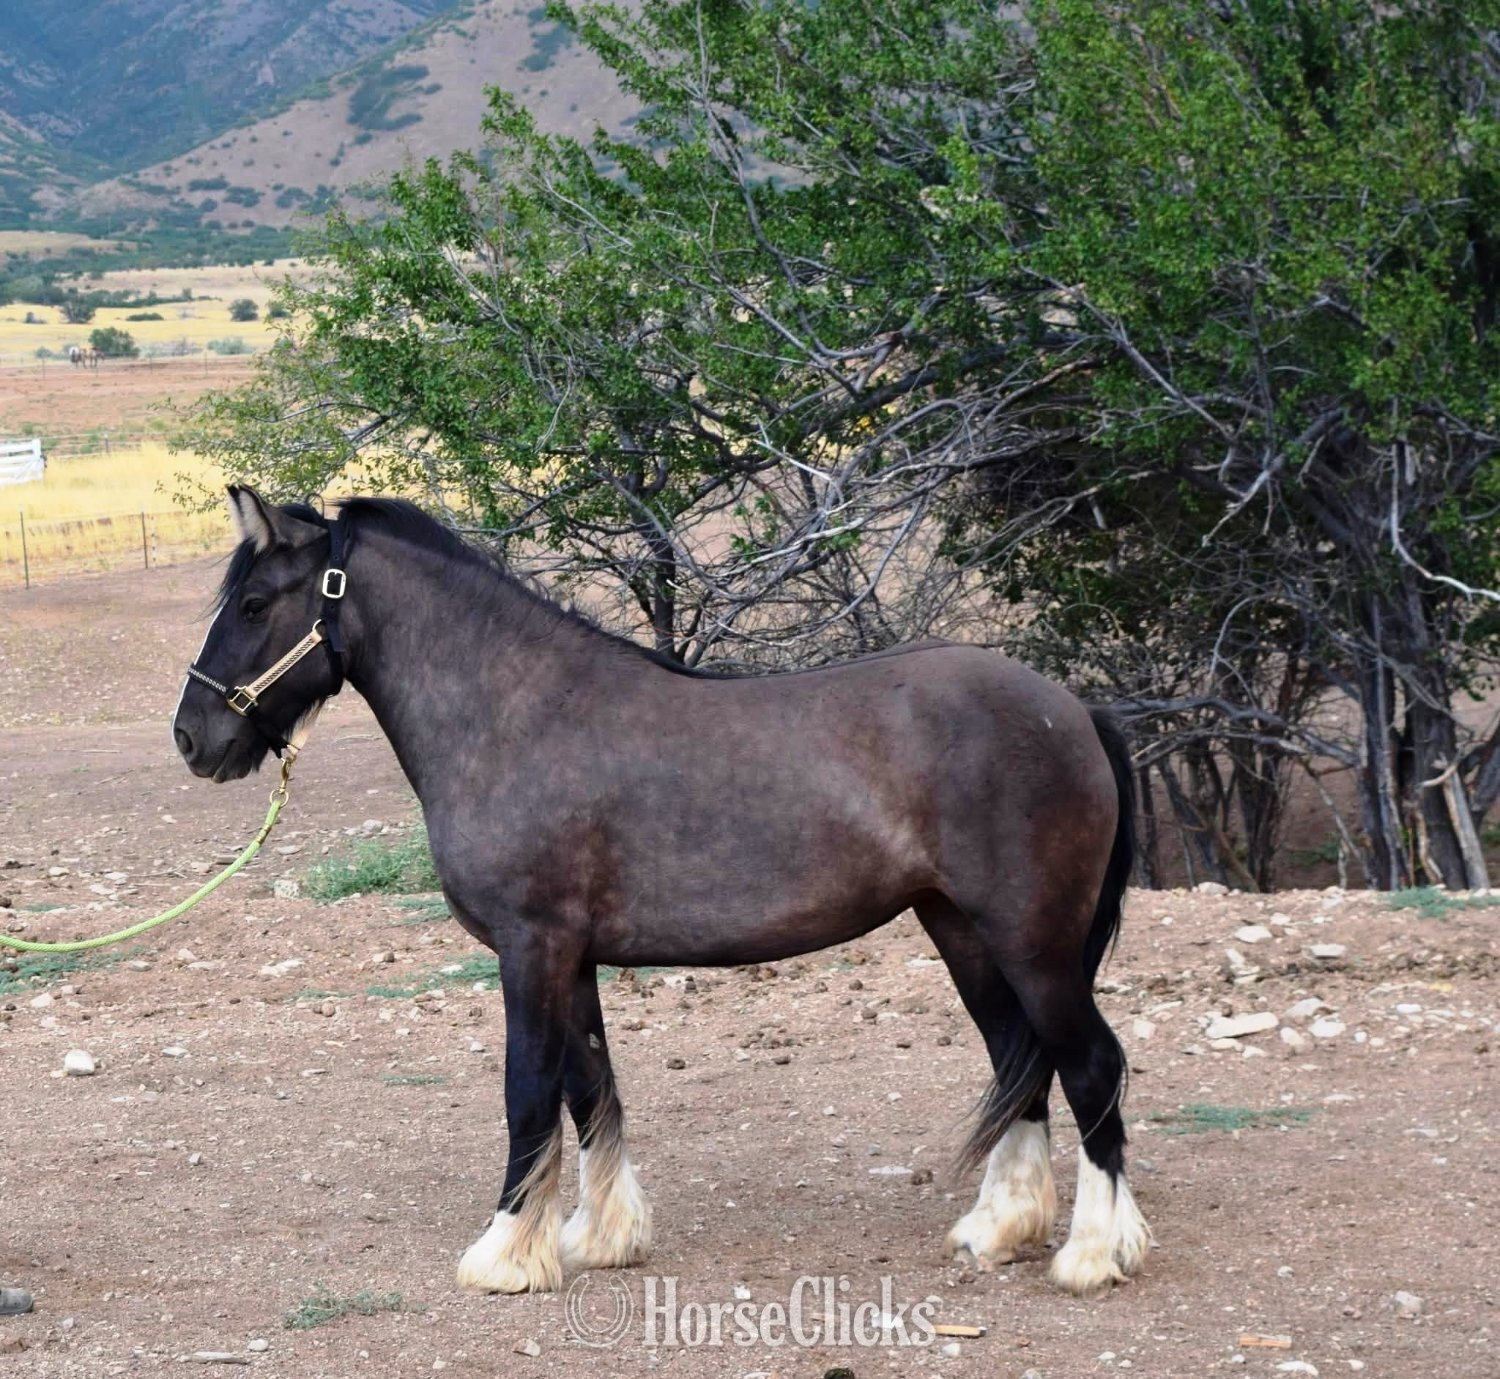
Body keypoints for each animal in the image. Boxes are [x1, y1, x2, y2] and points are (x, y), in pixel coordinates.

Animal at [171, 486, 1150, 1297]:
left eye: (255, 604)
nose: (192, 736)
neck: (515, 712)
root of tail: (1075, 709)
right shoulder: (571, 958)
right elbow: (590, 1088)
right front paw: (600, 1238)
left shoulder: (532, 948)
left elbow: (529, 1090)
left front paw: (503, 1254)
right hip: (964, 932)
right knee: (1020, 1061)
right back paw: (999, 1230)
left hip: (1033, 943)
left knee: (1089, 1065)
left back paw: (1093, 1253)